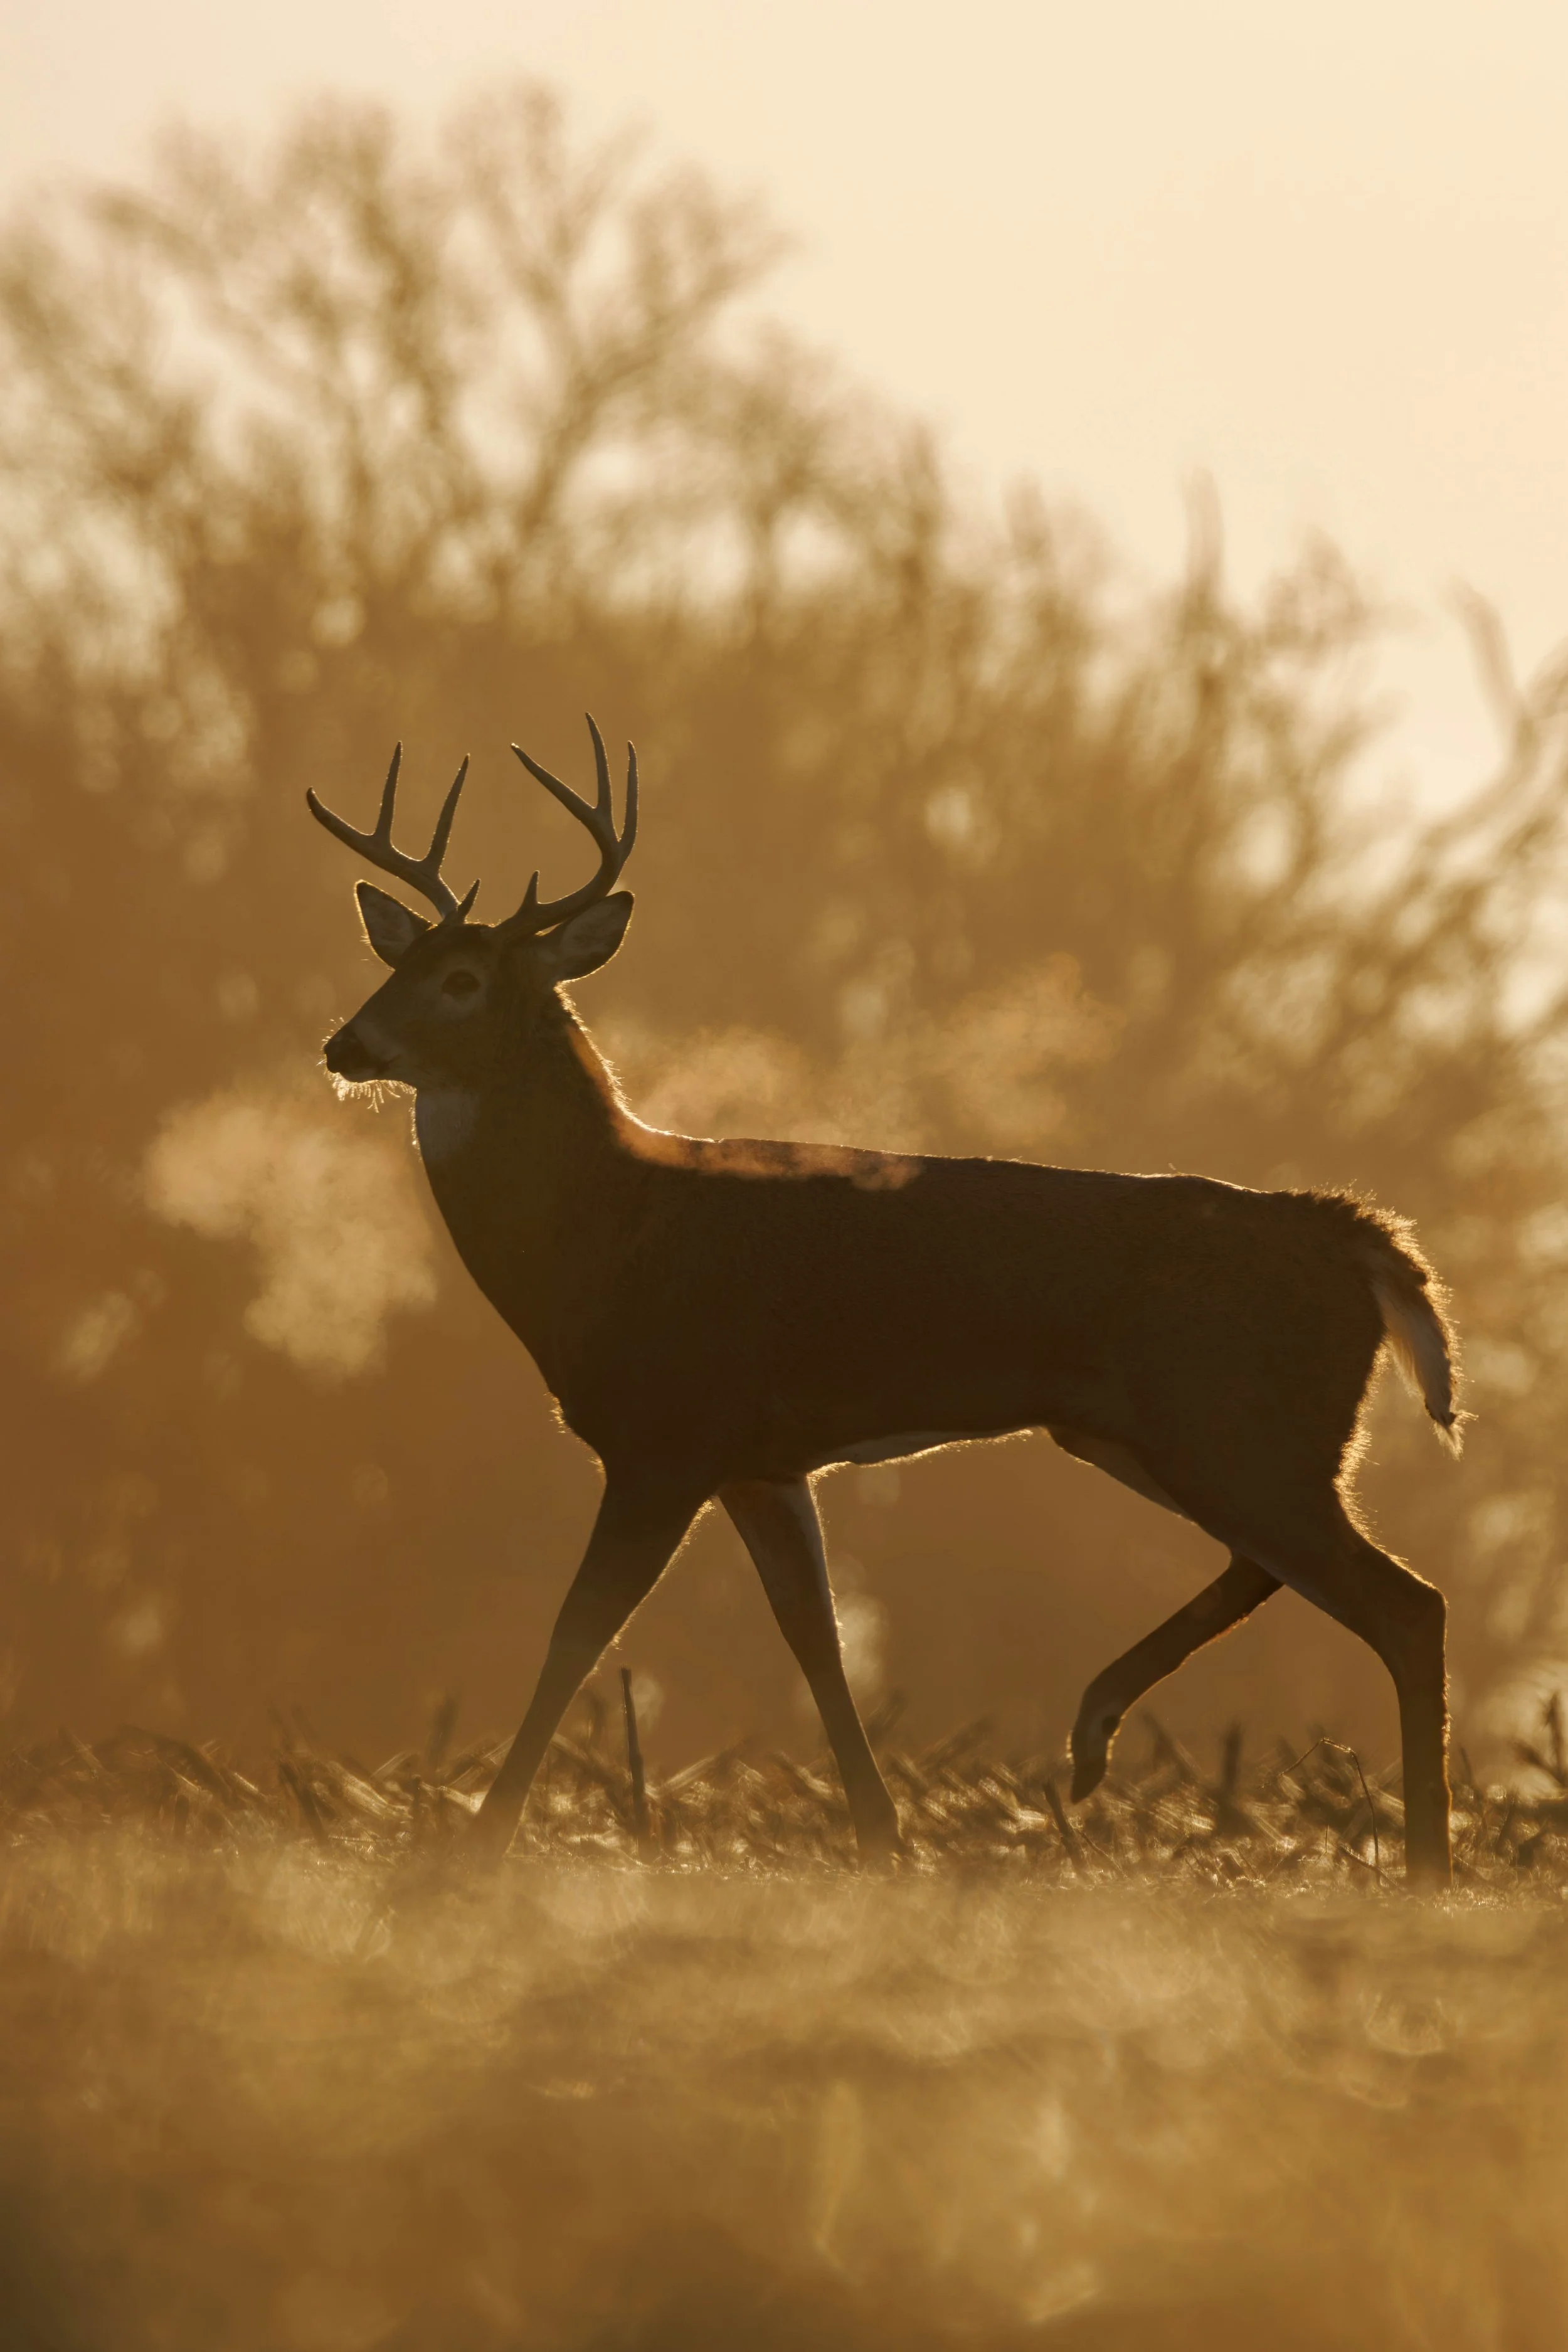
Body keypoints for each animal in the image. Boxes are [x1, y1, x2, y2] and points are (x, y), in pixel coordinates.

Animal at [308, 718, 1463, 1886]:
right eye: (392, 963)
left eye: (462, 979)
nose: (345, 1045)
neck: (605, 1232)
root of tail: (1353, 1234)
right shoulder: (764, 1460)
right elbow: (812, 1636)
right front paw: (881, 1834)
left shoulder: (666, 1433)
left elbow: (578, 1631)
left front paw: (481, 1835)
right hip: (1164, 1435)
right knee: (1287, 1574)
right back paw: (1095, 1734)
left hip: (1237, 1427)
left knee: (1407, 1605)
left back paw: (1420, 1860)